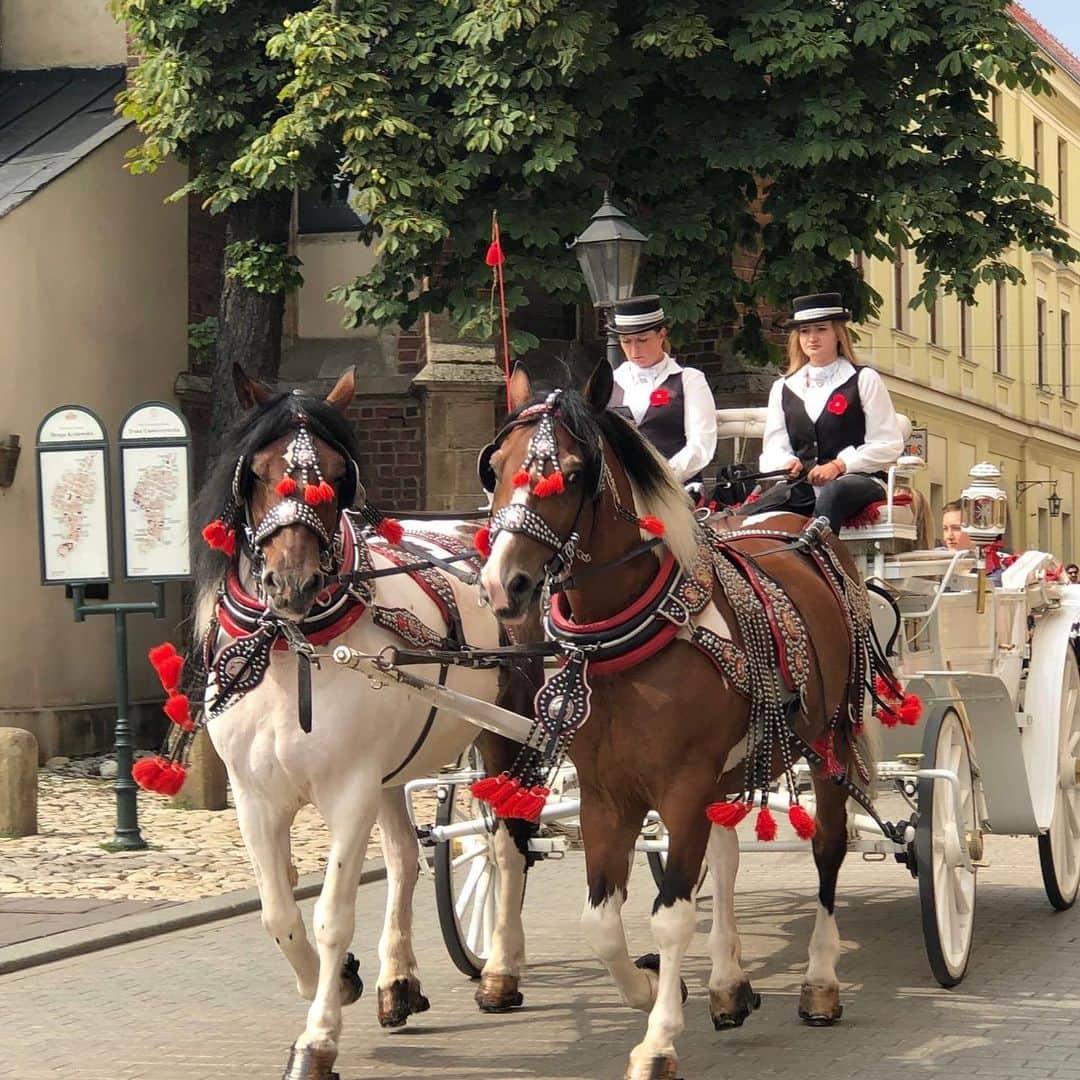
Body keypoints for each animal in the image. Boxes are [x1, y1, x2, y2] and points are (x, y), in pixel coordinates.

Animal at [477, 365, 881, 1080]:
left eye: (573, 474)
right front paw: (654, 988)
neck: (628, 641)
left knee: (828, 849)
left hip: (829, 737)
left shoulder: (683, 787)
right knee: (724, 860)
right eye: (494, 466)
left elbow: (670, 917)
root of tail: (796, 519)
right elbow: (602, 923)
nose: (505, 586)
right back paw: (728, 984)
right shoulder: (606, 795)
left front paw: (658, 1038)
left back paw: (820, 983)